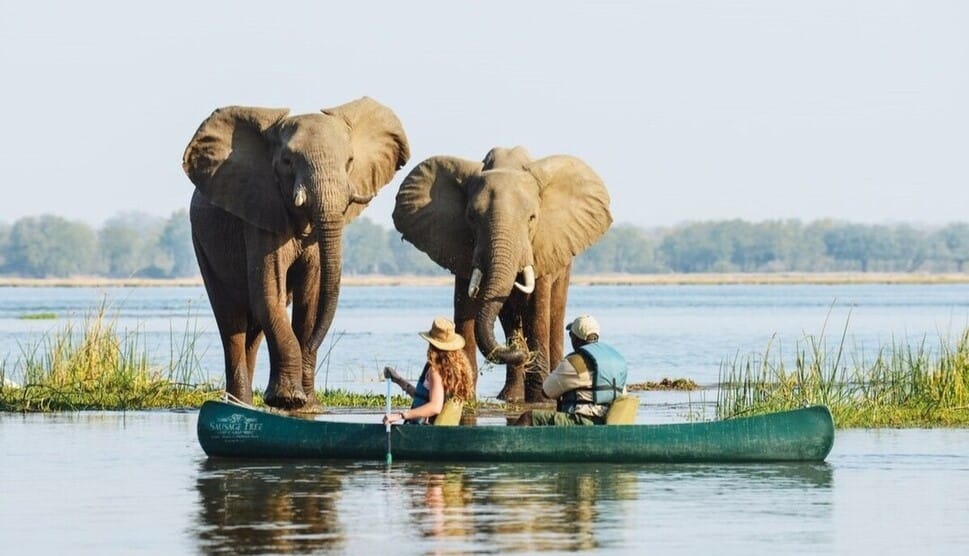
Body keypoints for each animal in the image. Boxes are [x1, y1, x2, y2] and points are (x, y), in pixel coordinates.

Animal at [183, 96, 410, 408]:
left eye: (350, 162)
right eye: (287, 162)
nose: (311, 349)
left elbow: (309, 301)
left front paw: (309, 405)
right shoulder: (260, 216)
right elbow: (270, 296)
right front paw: (288, 400)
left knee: (253, 327)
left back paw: (246, 404)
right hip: (202, 243)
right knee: (231, 319)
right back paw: (239, 402)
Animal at [390, 146, 608, 402]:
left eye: (532, 218)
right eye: (472, 217)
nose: (518, 350)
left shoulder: (542, 246)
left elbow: (537, 308)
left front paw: (540, 400)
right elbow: (465, 306)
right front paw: (465, 397)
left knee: (554, 310)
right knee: (509, 316)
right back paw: (510, 396)